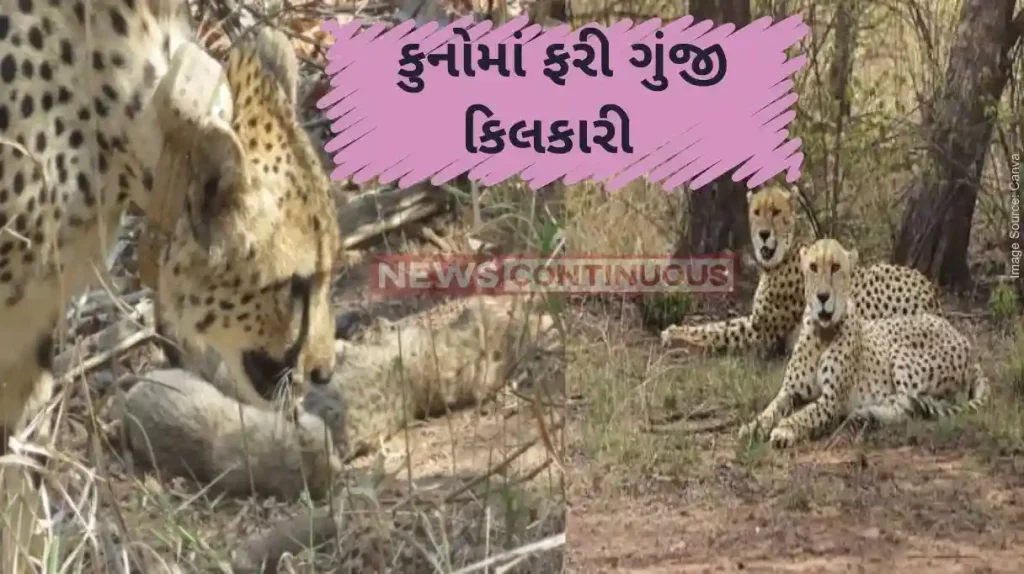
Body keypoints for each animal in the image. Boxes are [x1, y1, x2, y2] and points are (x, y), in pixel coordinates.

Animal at [660, 184, 942, 357]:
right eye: (757, 212)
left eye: (776, 212)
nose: (763, 235)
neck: (783, 254)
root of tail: (931, 295)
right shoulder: (756, 320)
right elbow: (719, 325)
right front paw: (675, 330)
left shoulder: (763, 332)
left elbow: (718, 333)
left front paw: (676, 337)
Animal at [738, 238, 989, 449]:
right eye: (813, 267)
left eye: (836, 267)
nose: (822, 297)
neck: (822, 333)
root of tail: (960, 336)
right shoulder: (790, 391)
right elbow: (770, 409)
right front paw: (753, 426)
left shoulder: (832, 401)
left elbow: (805, 414)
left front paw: (785, 430)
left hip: (900, 353)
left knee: (909, 404)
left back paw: (866, 413)